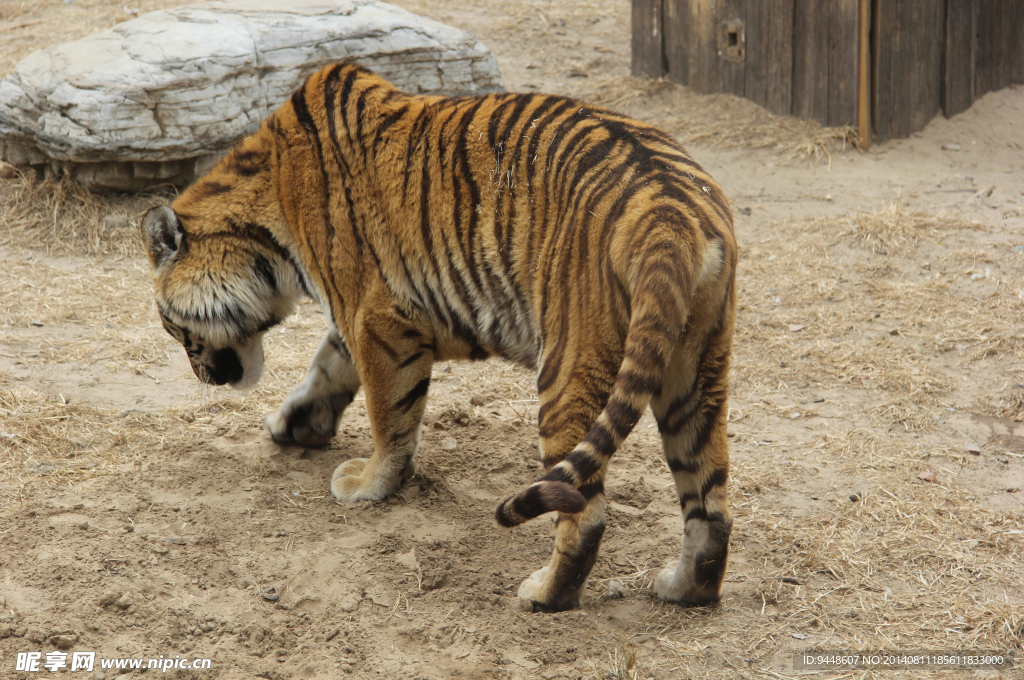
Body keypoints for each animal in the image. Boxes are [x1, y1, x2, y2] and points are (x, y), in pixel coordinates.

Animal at [142, 61, 737, 614]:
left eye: (170, 325)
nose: (202, 375)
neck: (268, 228)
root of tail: (672, 212)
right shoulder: (356, 317)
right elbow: (326, 368)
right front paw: (293, 424)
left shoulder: (375, 316)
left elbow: (389, 415)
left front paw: (370, 484)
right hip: (695, 376)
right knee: (711, 506)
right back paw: (684, 588)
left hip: (570, 367)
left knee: (585, 512)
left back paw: (544, 594)